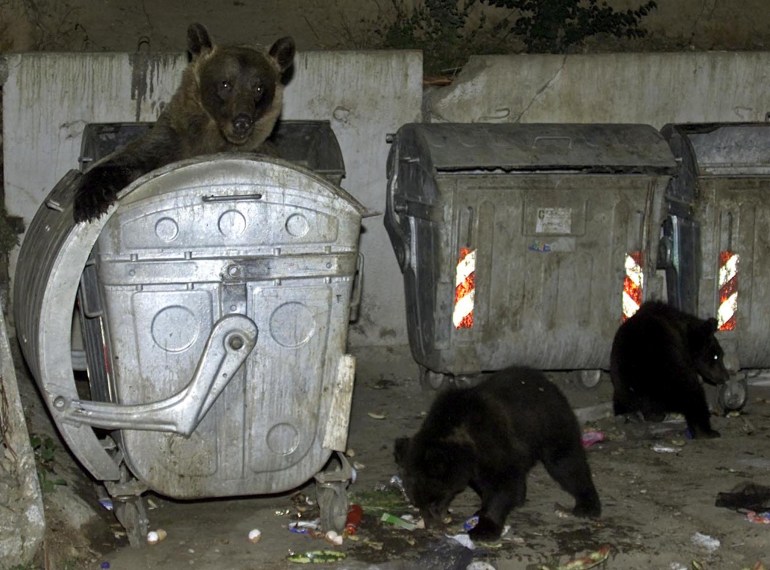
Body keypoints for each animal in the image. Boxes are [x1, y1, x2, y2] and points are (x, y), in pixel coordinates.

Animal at [73, 22, 294, 222]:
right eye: (225, 83)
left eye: (259, 88)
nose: (242, 122)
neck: (212, 137)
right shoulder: (170, 141)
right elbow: (127, 159)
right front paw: (91, 201)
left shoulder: (260, 150)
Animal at [396, 366, 600, 540]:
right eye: (417, 503)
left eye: (433, 500)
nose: (430, 525)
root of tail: (546, 381)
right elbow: (485, 483)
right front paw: (483, 509)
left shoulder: (492, 442)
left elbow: (501, 483)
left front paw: (484, 529)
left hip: (550, 425)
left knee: (566, 463)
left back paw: (587, 505)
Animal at [608, 300, 728, 438]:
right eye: (715, 356)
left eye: (720, 355)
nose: (726, 376)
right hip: (670, 373)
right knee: (693, 394)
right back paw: (706, 431)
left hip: (624, 383)